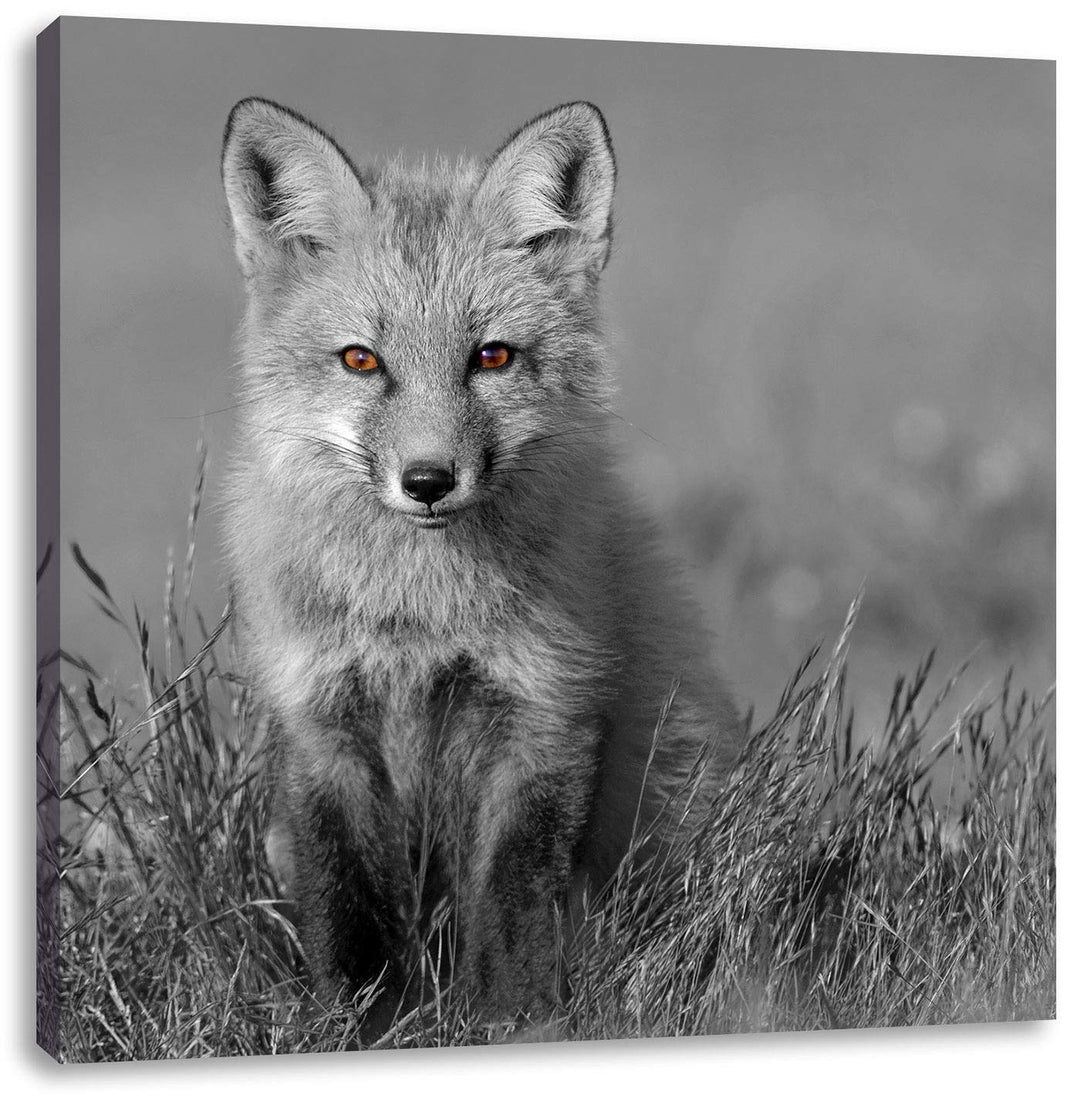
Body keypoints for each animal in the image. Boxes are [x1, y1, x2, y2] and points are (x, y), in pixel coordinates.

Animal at [220, 97, 743, 1027]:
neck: (418, 614)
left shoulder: (545, 711)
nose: (428, 481)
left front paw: (512, 1022)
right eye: (362, 360)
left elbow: (509, 902)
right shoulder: (321, 722)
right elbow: (345, 905)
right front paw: (358, 1027)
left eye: (490, 356)